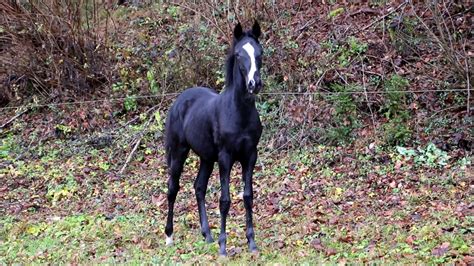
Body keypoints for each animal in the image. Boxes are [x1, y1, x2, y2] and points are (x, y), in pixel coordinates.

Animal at [165, 22, 264, 256]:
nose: (254, 84)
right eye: (238, 55)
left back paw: (207, 235)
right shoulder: (226, 158)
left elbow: (248, 197)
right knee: (173, 188)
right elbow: (224, 200)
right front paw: (223, 247)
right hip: (179, 152)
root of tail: (180, 101)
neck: (238, 113)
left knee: (199, 187)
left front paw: (252, 243)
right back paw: (169, 237)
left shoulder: (250, 156)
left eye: (260, 53)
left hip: (207, 158)